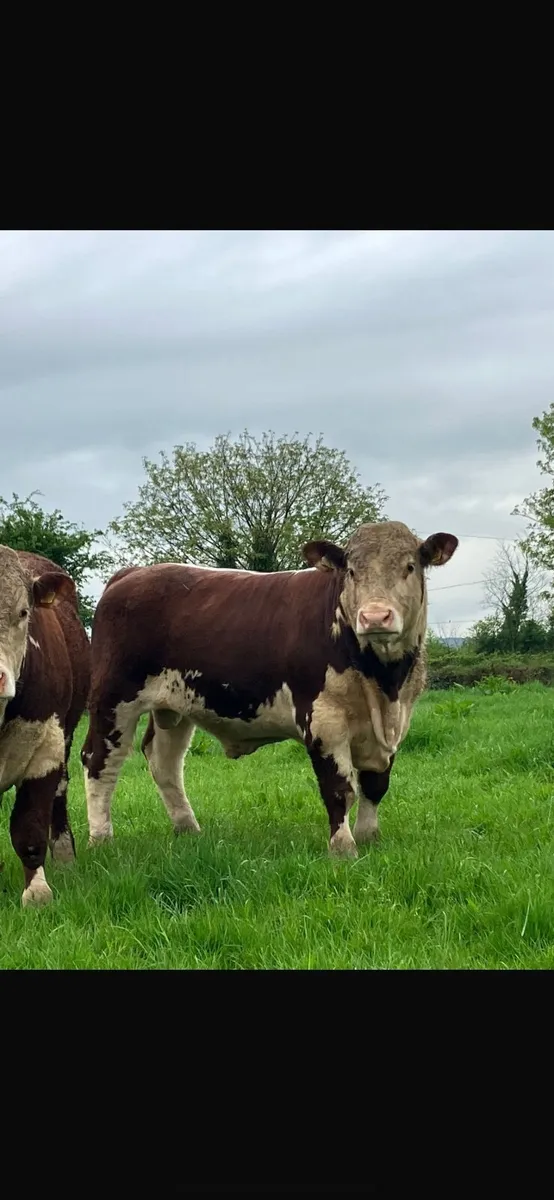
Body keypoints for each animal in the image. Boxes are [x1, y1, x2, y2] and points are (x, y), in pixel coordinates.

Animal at [81, 521, 458, 858]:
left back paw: (187, 828)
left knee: (165, 760)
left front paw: (369, 837)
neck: (382, 682)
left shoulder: (395, 722)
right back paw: (101, 839)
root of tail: (133, 573)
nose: (375, 617)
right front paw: (343, 848)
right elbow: (338, 788)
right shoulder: (322, 718)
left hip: (175, 704)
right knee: (100, 760)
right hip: (113, 698)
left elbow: (376, 784)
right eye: (351, 571)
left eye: (410, 566)